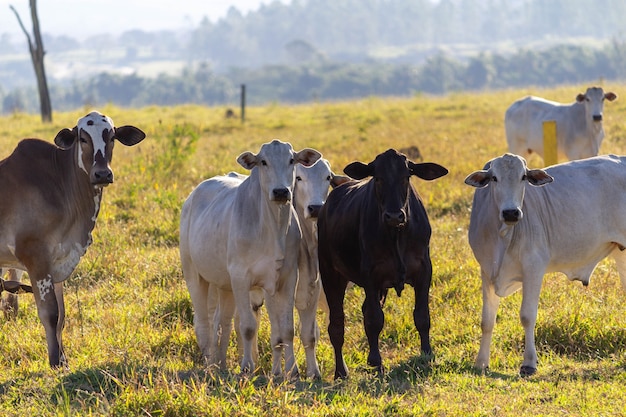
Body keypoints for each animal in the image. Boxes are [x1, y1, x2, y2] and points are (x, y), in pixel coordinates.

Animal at [0, 111, 144, 368]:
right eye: (83, 139)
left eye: (112, 137)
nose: (102, 174)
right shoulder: (37, 260)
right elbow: (50, 313)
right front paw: (54, 360)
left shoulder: (59, 263)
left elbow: (62, 316)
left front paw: (63, 359)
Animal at [178, 138, 320, 376]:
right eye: (263, 162)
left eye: (292, 160)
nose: (281, 192)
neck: (272, 228)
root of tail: (191, 197)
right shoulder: (240, 277)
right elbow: (247, 327)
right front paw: (247, 366)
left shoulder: (286, 278)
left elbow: (287, 329)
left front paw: (292, 371)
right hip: (194, 276)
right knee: (204, 323)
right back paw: (209, 364)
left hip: (224, 285)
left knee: (222, 322)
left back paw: (221, 363)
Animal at [316, 148, 448, 378]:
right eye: (377, 178)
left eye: (406, 177)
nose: (394, 215)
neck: (396, 233)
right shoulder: (370, 275)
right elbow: (375, 319)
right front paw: (378, 363)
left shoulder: (424, 270)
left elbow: (422, 316)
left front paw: (427, 354)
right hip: (330, 273)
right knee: (337, 324)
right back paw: (341, 371)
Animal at [464, 152, 626, 374]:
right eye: (494, 178)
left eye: (523, 177)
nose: (511, 212)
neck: (502, 235)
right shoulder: (487, 272)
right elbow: (486, 321)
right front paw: (481, 362)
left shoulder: (534, 268)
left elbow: (527, 316)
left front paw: (529, 363)